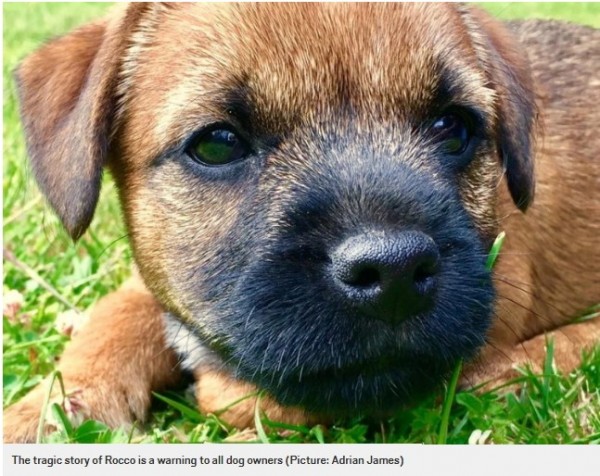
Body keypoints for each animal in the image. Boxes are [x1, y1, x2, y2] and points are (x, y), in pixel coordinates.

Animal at [4, 3, 600, 442]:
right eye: (217, 144)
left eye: (452, 127)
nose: (394, 273)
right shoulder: (141, 283)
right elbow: (110, 326)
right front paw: (45, 412)